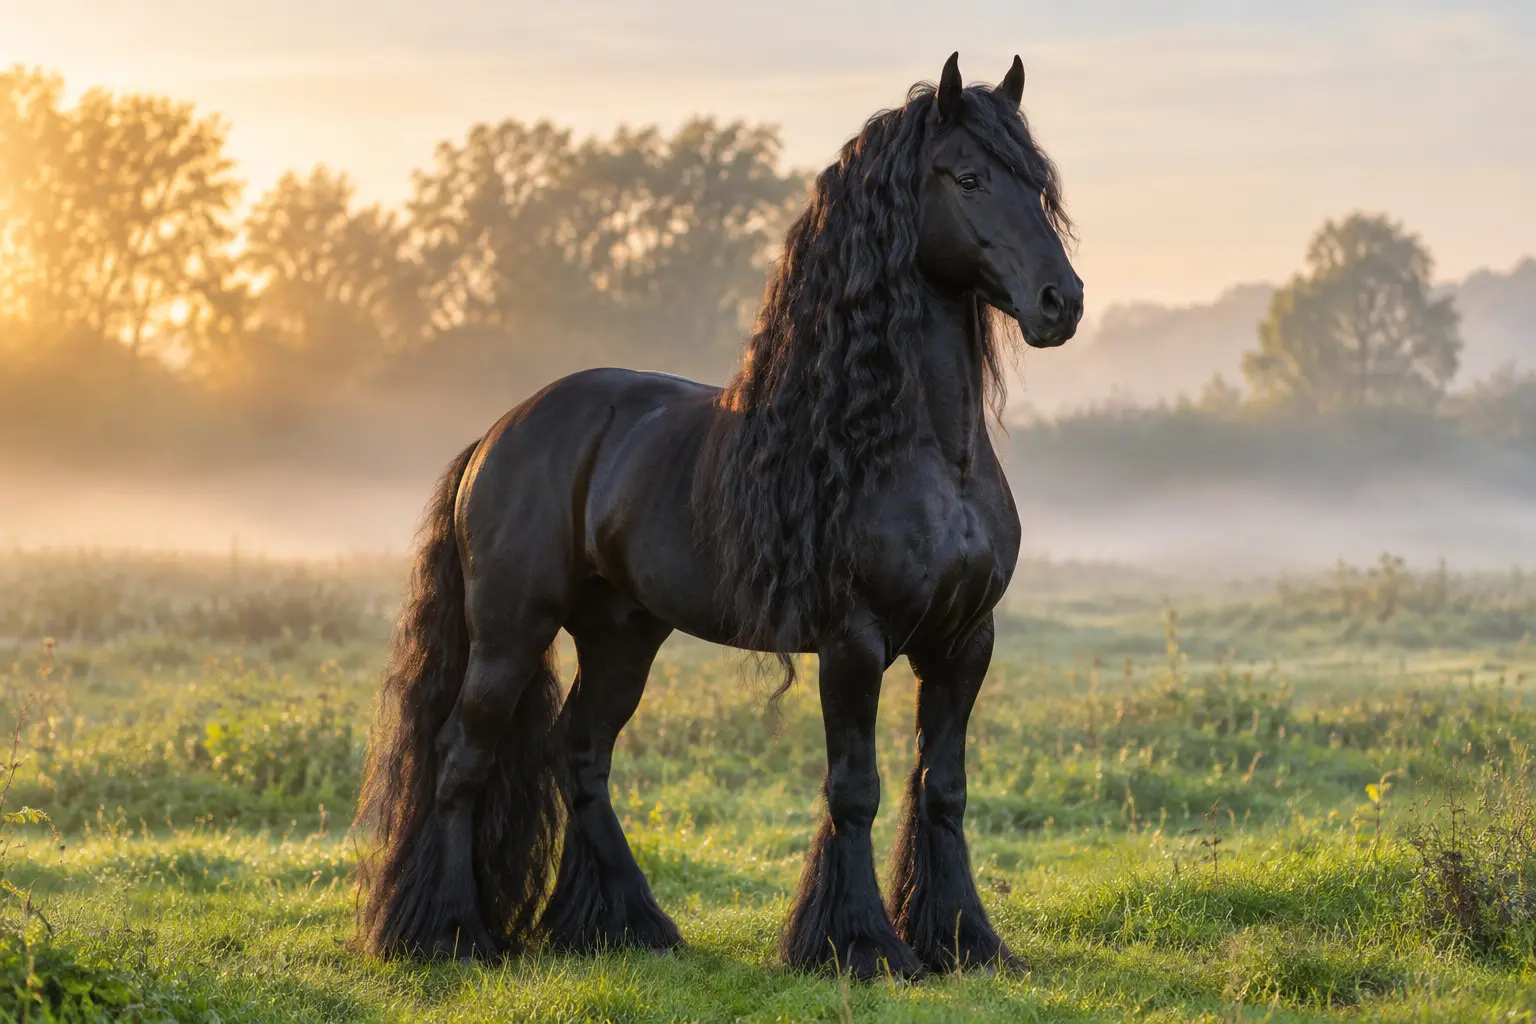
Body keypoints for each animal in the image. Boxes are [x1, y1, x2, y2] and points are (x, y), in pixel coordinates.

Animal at [353, 51, 1082, 980]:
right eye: (968, 176)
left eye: (1040, 185)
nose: (1061, 301)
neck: (920, 452)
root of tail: (498, 433)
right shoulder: (854, 641)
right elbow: (856, 789)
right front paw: (857, 944)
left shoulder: (963, 643)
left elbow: (942, 789)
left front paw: (962, 940)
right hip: (511, 630)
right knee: (462, 757)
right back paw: (447, 934)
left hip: (622, 634)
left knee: (578, 753)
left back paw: (624, 924)